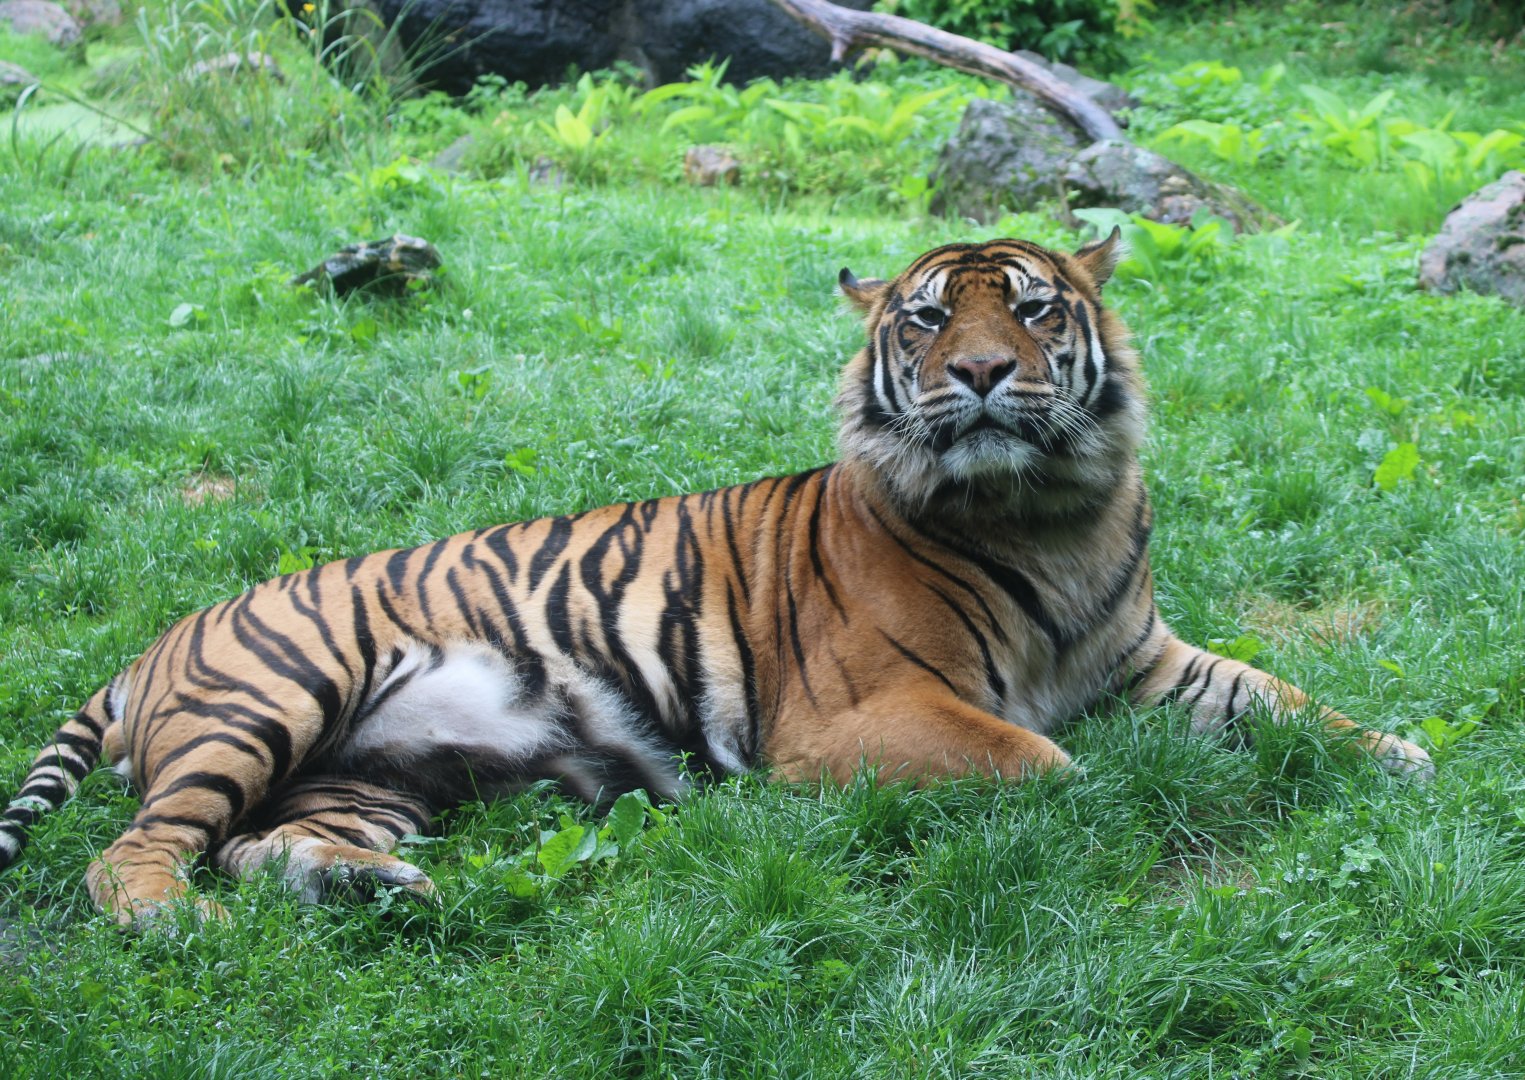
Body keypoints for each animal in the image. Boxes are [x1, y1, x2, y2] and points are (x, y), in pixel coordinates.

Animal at [0, 233, 1434, 925]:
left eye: (1031, 309)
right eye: (928, 320)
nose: (977, 374)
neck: (1049, 513)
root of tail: (148, 647)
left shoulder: (1147, 661)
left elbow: (1278, 698)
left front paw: (1400, 754)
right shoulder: (867, 717)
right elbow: (1050, 764)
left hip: (368, 777)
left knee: (255, 847)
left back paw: (375, 896)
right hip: (274, 699)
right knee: (137, 857)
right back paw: (180, 926)